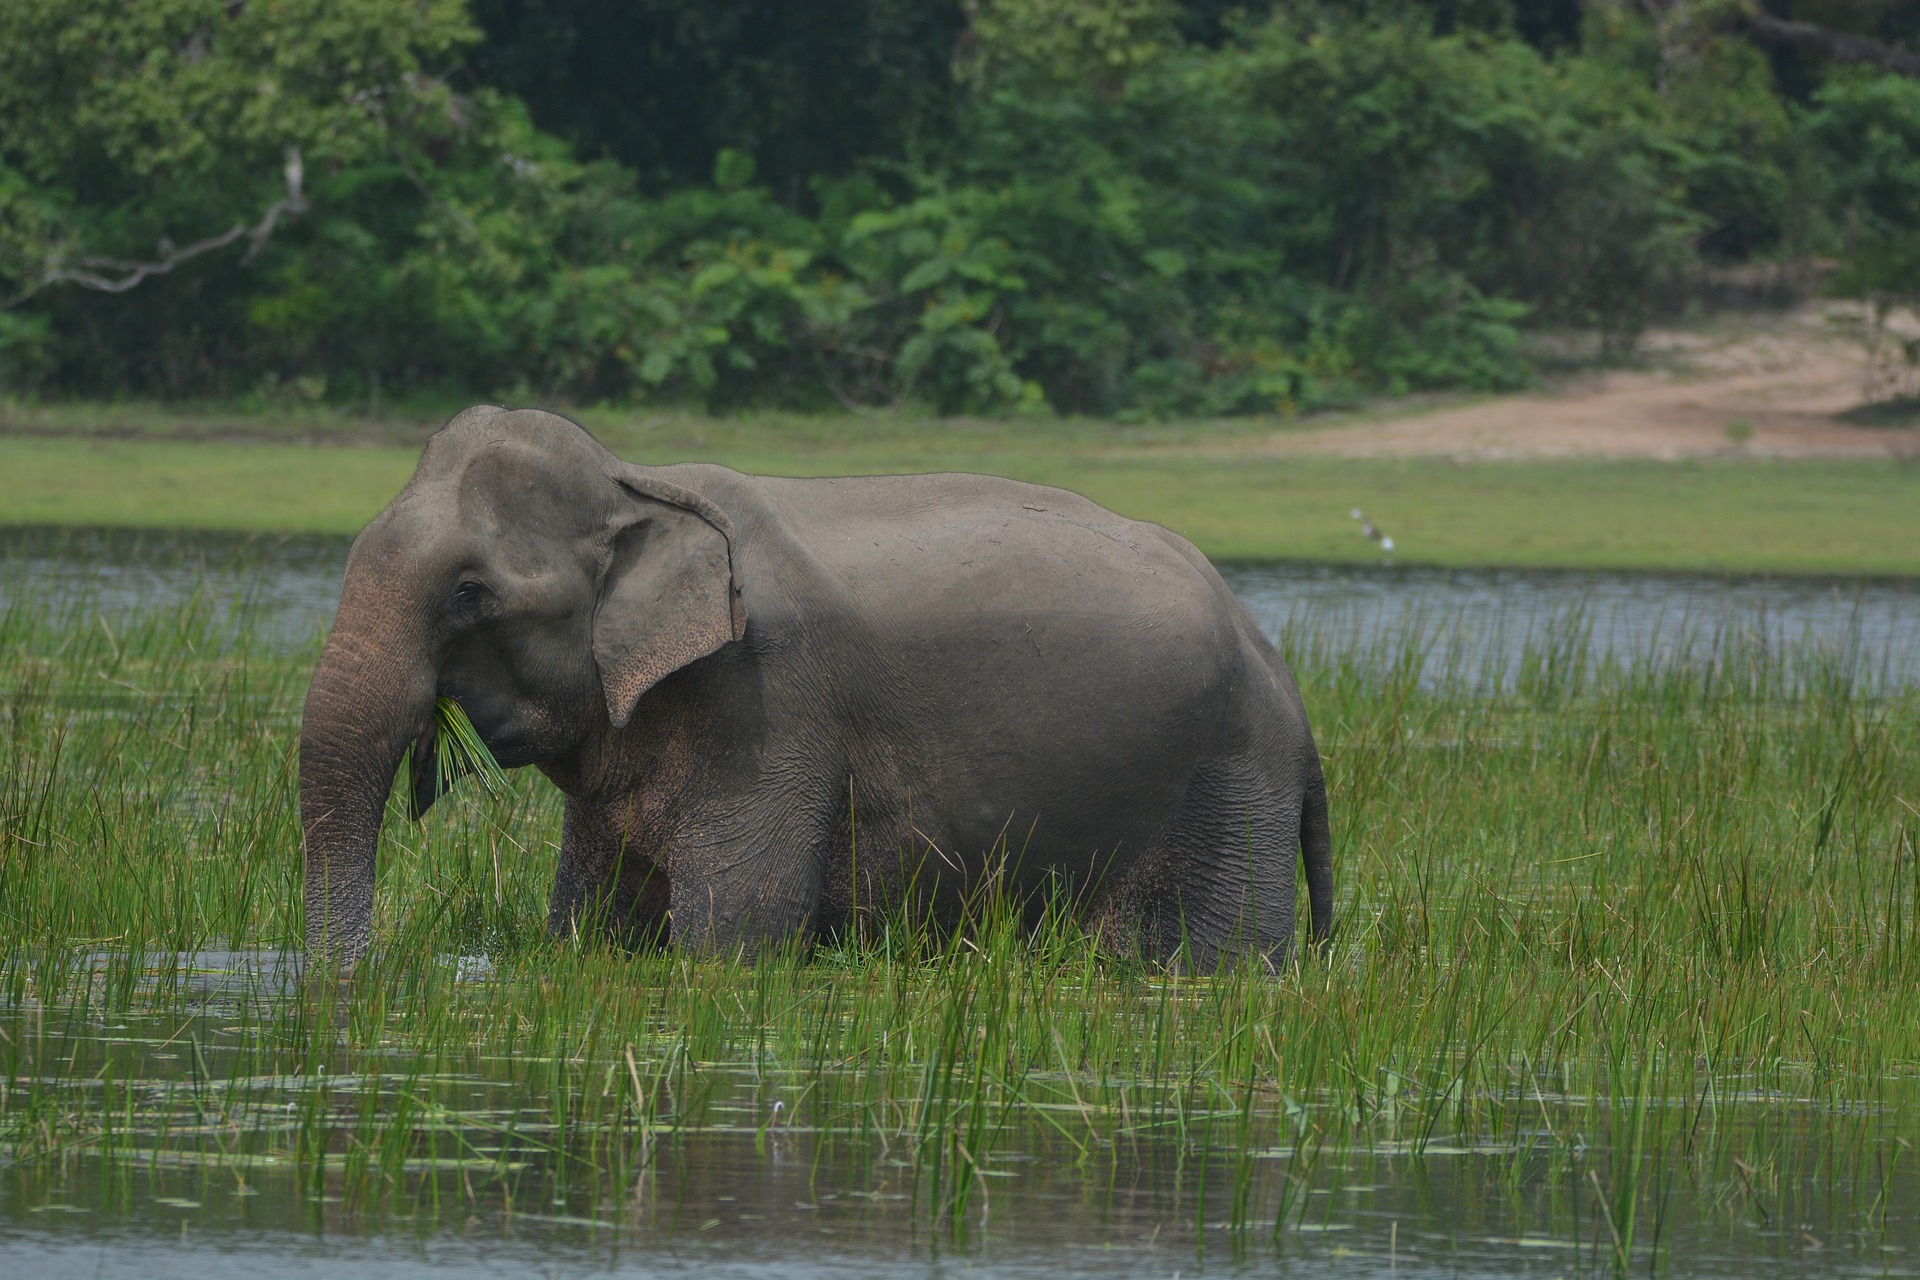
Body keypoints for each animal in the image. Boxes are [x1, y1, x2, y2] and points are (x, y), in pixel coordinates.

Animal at [299, 406, 1333, 970]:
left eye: (469, 594)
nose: (358, 979)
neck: (643, 482)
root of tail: (1283, 676)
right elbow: (593, 929)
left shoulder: (765, 707)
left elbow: (734, 939)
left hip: (1228, 797)